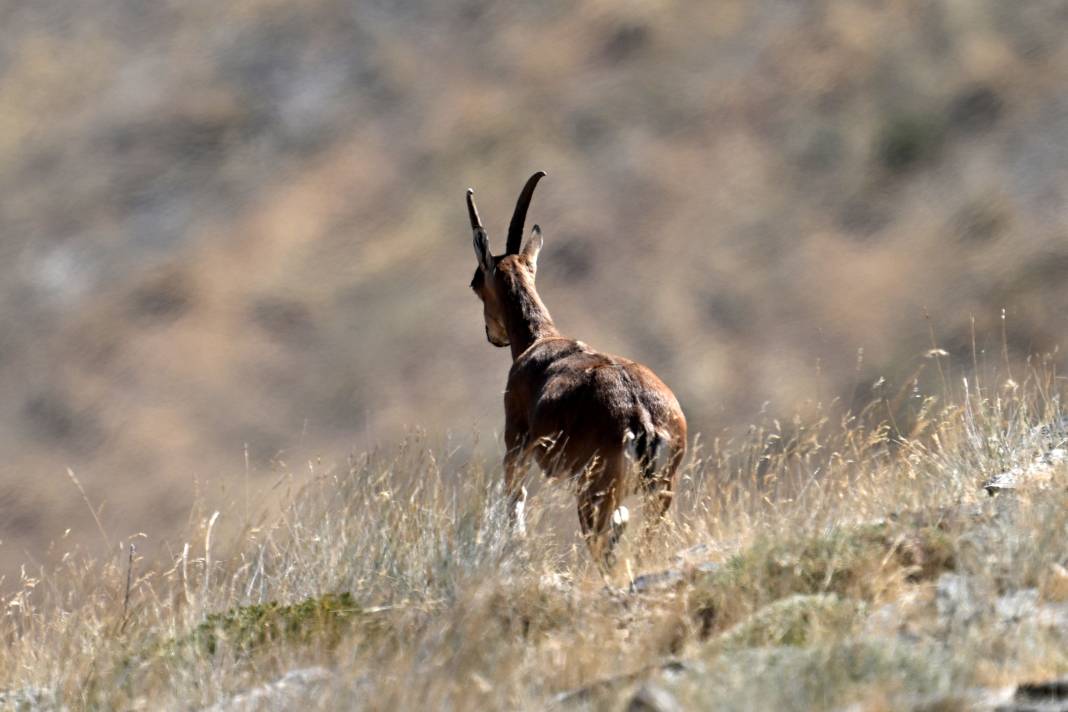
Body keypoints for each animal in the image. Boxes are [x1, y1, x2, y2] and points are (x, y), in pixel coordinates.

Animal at [465, 169, 683, 563]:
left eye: (475, 283)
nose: (494, 336)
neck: (539, 340)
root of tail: (642, 419)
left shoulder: (515, 438)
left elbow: (515, 498)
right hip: (661, 491)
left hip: (595, 490)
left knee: (603, 544)